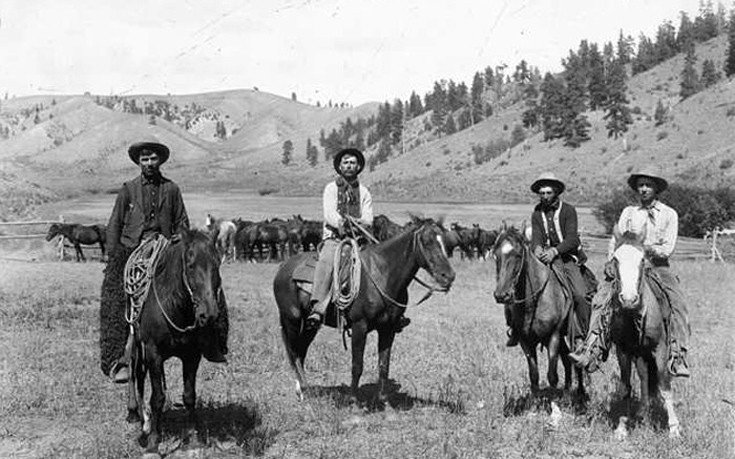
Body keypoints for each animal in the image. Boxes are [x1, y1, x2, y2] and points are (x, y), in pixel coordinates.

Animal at [126, 232, 226, 454]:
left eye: (217, 264)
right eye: (190, 265)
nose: (209, 314)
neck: (175, 308)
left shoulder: (192, 356)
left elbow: (189, 396)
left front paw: (194, 439)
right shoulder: (153, 353)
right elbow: (157, 398)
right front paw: (154, 443)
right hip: (137, 345)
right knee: (136, 374)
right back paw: (139, 417)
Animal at [274, 217, 458, 404]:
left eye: (445, 242)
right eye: (426, 242)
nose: (448, 276)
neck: (382, 275)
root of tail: (284, 266)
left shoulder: (388, 328)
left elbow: (384, 365)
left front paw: (383, 400)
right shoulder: (359, 326)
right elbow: (357, 365)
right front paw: (353, 399)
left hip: (310, 324)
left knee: (301, 350)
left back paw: (305, 388)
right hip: (292, 320)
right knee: (294, 351)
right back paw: (302, 390)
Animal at [492, 224, 584, 396]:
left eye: (518, 254)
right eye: (496, 255)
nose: (501, 295)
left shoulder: (553, 336)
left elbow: (552, 375)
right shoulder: (525, 341)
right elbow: (533, 376)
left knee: (577, 360)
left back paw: (580, 392)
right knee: (567, 359)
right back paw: (567, 390)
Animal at [608, 232, 684, 440]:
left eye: (642, 259)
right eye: (616, 259)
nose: (628, 299)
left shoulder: (660, 348)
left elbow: (664, 385)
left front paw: (674, 428)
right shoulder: (623, 350)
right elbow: (626, 387)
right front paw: (622, 427)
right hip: (640, 354)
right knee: (644, 378)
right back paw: (643, 412)